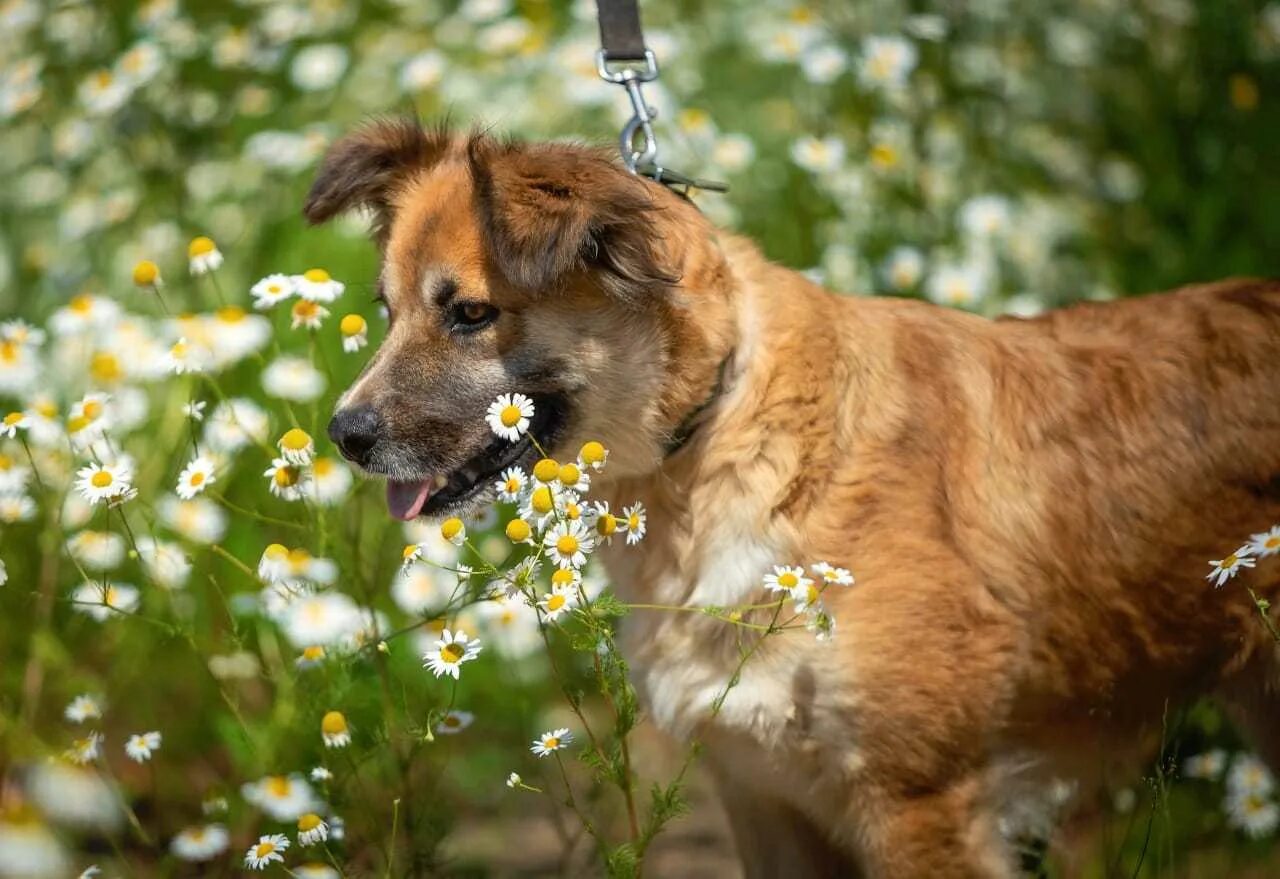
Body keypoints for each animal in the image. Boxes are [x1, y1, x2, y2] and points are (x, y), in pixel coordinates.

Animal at [307, 118, 1280, 879]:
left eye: (470, 313)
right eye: (386, 309)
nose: (343, 434)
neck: (725, 431)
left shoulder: (920, 800)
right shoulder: (760, 793)